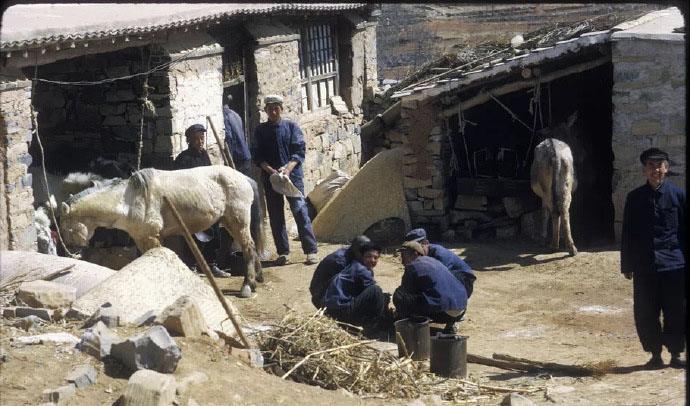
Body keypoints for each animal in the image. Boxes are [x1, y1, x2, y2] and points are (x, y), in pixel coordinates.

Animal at [59, 164, 264, 294]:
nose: (69, 252)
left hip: (237, 222)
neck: (128, 201)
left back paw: (247, 286)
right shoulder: (143, 239)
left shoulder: (151, 238)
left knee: (248, 248)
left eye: (65, 227)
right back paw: (257, 279)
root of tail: (243, 178)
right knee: (250, 247)